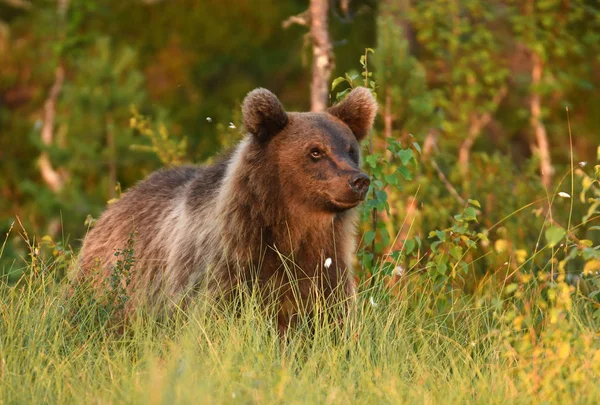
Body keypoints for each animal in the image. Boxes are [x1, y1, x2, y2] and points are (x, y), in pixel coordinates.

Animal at [75, 86, 376, 332]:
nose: (358, 180)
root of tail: (114, 206)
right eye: (315, 151)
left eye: (350, 149)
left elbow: (330, 318)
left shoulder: (327, 266)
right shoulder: (227, 265)